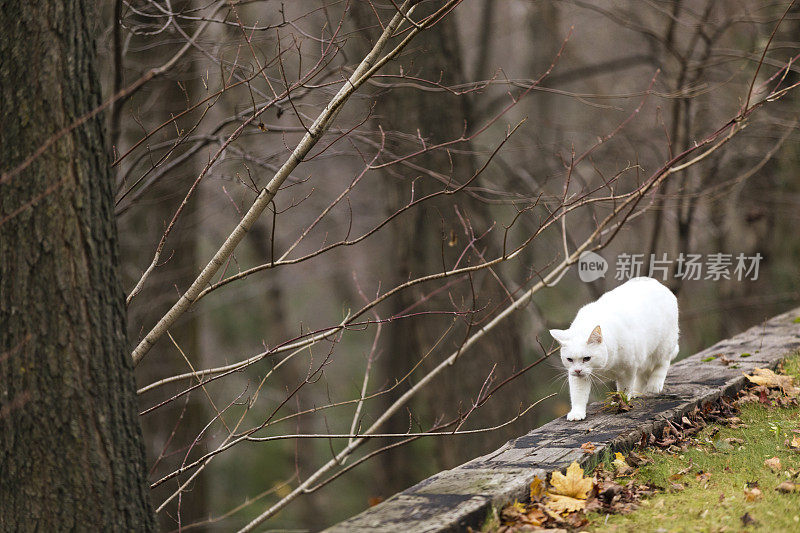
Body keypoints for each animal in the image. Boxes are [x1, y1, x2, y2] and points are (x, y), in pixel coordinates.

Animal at [552, 276, 680, 422]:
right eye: (569, 359)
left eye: (587, 358)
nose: (577, 370)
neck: (603, 368)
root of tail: (656, 283)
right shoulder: (578, 378)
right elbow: (578, 395)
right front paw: (577, 413)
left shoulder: (628, 369)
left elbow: (624, 389)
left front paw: (622, 402)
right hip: (644, 356)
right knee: (642, 373)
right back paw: (636, 392)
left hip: (663, 346)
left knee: (663, 363)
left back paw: (654, 385)